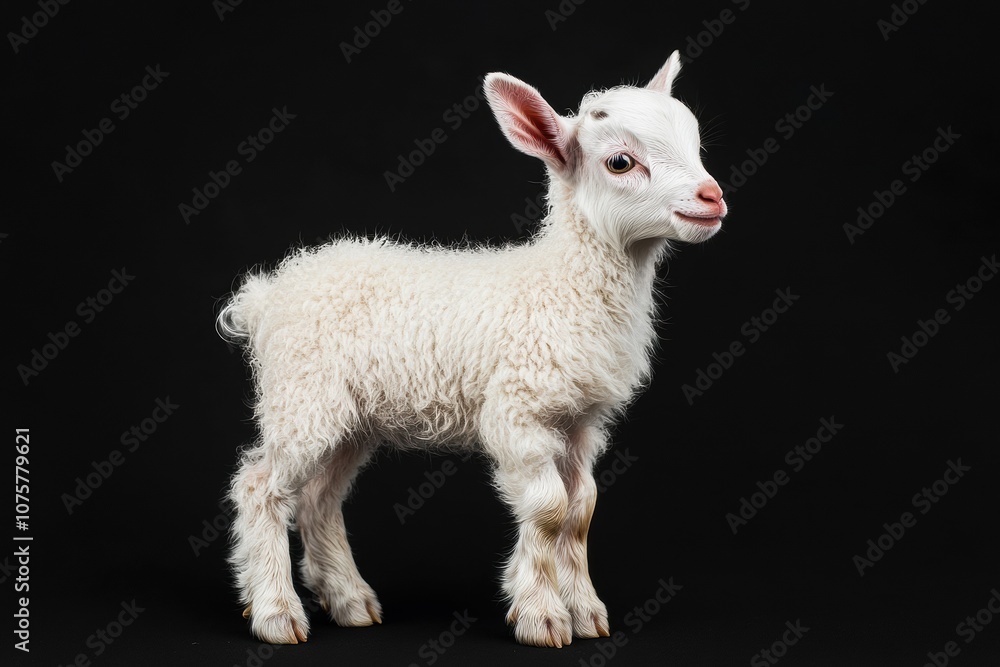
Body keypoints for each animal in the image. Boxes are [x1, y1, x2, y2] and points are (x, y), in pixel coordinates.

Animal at [218, 50, 726, 648]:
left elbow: (581, 509)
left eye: (695, 142)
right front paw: (541, 615)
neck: (560, 285)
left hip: (353, 416)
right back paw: (276, 612)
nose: (712, 197)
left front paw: (585, 613)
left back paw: (349, 600)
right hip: (303, 397)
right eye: (620, 162)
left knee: (319, 498)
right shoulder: (518, 410)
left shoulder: (580, 422)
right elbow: (549, 509)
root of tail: (269, 295)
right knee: (260, 488)